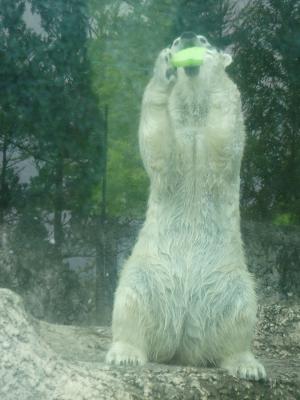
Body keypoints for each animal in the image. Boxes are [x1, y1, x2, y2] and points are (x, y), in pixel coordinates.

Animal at [106, 32, 266, 380]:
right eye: (177, 39)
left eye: (204, 39)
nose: (189, 37)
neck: (193, 109)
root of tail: (183, 346)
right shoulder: (176, 133)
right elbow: (160, 149)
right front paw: (164, 69)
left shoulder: (224, 131)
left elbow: (223, 141)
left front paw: (214, 68)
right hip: (146, 272)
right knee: (130, 302)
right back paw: (126, 353)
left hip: (231, 278)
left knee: (241, 312)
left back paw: (248, 365)